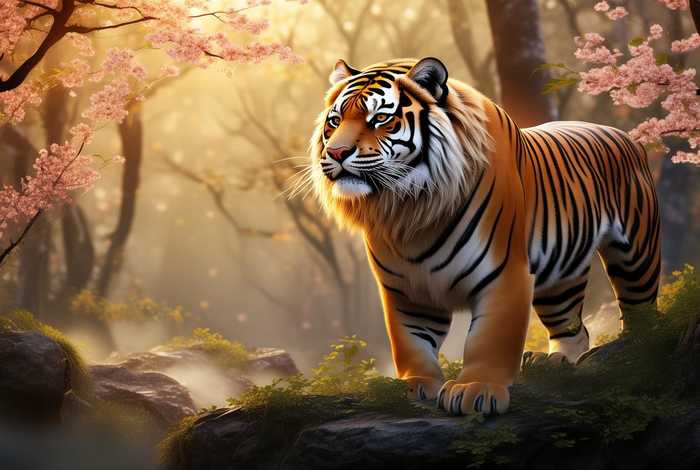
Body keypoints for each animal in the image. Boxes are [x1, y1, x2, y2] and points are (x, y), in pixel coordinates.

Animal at [308, 57, 660, 416]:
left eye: (380, 118)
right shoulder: (405, 289)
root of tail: (624, 135)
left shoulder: (504, 274)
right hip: (560, 278)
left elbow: (488, 338)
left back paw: (637, 352)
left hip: (635, 256)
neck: (408, 210)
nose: (336, 153)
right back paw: (554, 360)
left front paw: (476, 390)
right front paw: (415, 386)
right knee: (573, 326)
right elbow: (411, 341)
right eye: (335, 121)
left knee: (642, 310)